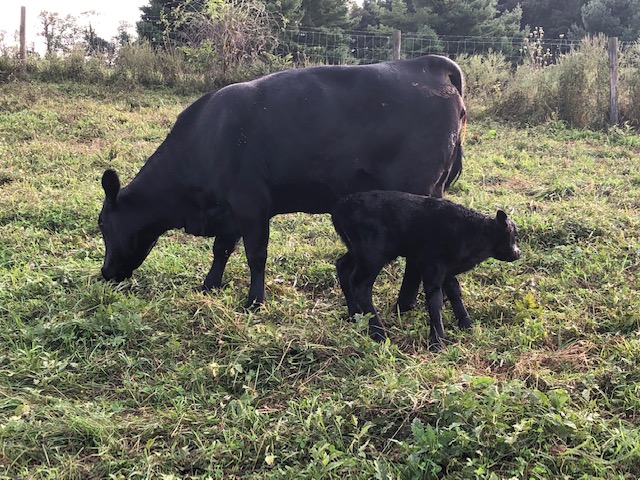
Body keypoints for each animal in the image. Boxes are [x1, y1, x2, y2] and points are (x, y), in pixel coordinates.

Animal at [99, 55, 467, 309]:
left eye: (101, 223)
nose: (104, 273)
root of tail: (426, 64)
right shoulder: (229, 209)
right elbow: (222, 248)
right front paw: (210, 285)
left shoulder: (250, 202)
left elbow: (255, 253)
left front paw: (254, 301)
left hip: (417, 191)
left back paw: (403, 305)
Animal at [331, 191, 520, 349]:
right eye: (514, 235)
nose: (518, 253)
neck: (473, 231)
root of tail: (340, 207)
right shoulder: (433, 268)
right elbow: (435, 301)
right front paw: (437, 341)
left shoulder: (448, 271)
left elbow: (454, 292)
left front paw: (466, 324)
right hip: (372, 254)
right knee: (360, 284)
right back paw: (379, 333)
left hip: (358, 251)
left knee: (343, 266)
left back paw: (354, 315)